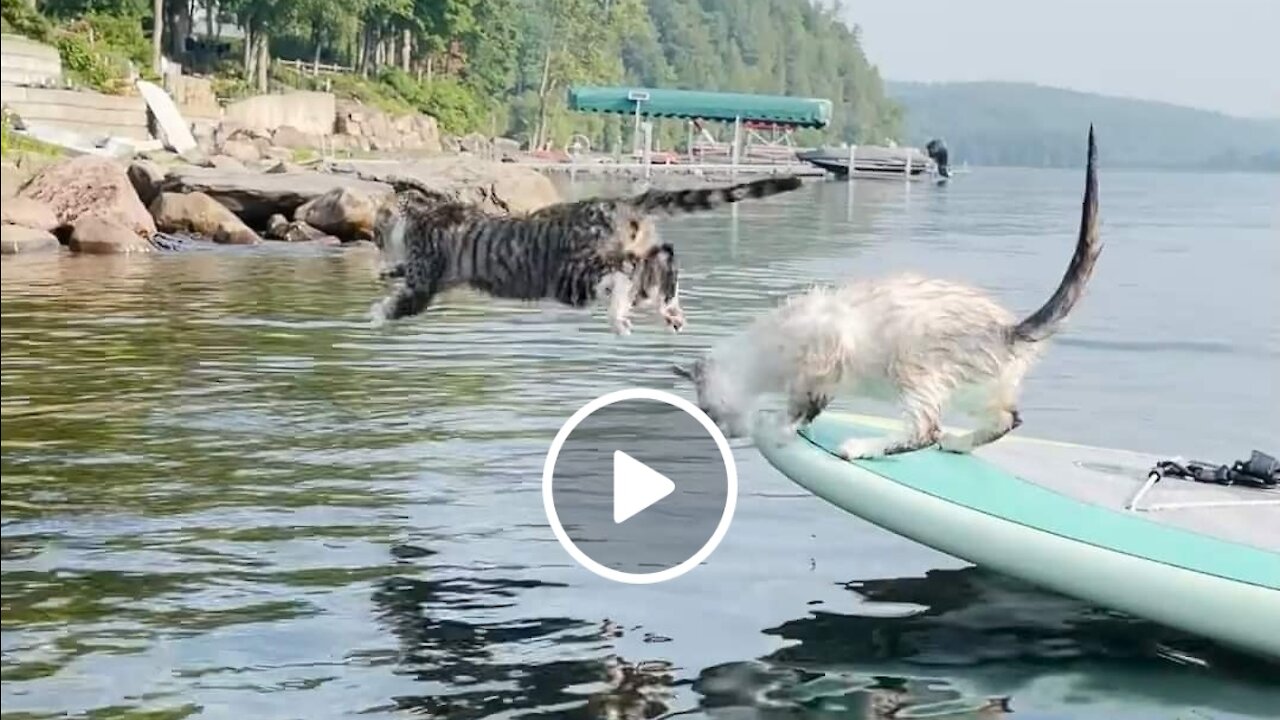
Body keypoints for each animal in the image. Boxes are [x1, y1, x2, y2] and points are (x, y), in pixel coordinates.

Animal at [368, 174, 798, 333]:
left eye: (376, 230)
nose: (374, 239)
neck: (424, 214)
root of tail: (620, 202)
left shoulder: (426, 277)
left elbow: (403, 301)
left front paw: (374, 314)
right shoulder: (436, 275)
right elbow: (402, 277)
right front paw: (387, 274)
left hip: (570, 275)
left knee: (627, 272)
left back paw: (620, 317)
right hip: (626, 252)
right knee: (661, 260)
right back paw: (670, 308)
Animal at [670, 126, 1100, 456]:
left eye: (710, 411)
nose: (727, 433)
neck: (762, 359)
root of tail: (1010, 330)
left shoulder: (822, 361)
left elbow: (799, 409)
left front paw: (778, 428)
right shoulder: (820, 378)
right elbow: (809, 409)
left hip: (913, 371)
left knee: (924, 431)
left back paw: (861, 448)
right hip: (975, 393)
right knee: (1006, 420)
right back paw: (957, 443)